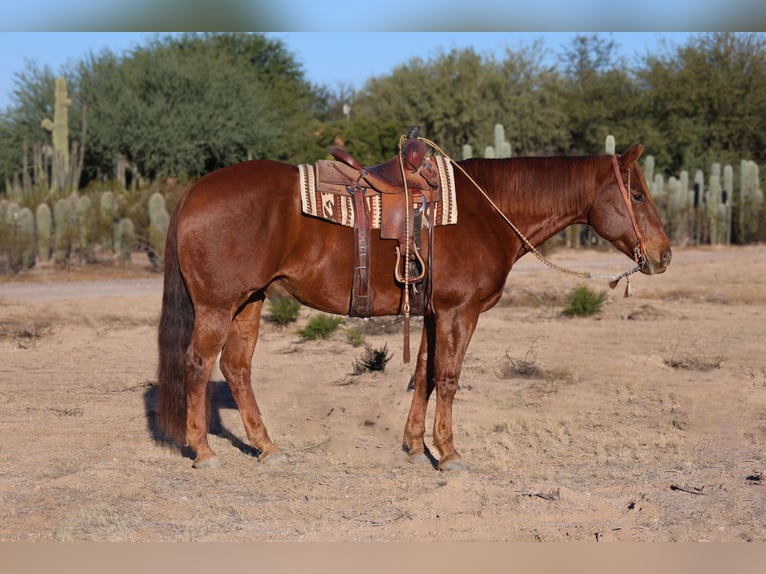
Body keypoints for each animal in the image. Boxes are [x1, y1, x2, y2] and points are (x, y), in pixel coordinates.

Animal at [158, 142, 672, 470]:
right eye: (637, 194)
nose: (663, 255)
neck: (487, 211)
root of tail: (193, 192)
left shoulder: (431, 312)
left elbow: (424, 373)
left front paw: (412, 444)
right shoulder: (458, 311)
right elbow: (447, 378)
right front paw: (449, 453)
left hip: (250, 301)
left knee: (236, 368)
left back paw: (267, 448)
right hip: (218, 305)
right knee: (199, 363)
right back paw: (204, 452)